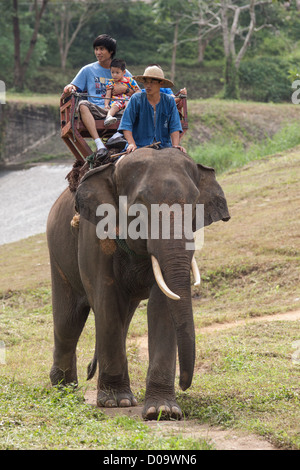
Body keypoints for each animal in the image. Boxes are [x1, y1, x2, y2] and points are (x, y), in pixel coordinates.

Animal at [47, 149, 230, 420]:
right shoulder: (94, 236)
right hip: (57, 252)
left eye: (195, 202)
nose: (184, 384)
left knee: (121, 318)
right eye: (139, 205)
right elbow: (106, 298)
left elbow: (163, 303)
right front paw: (117, 402)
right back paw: (64, 389)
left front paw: (162, 411)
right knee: (68, 321)